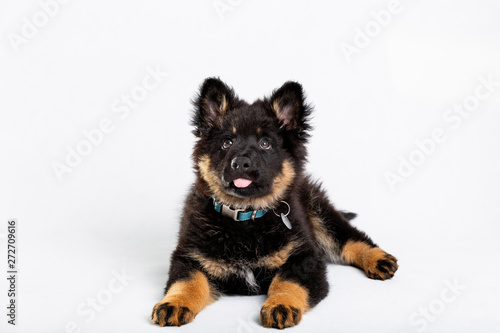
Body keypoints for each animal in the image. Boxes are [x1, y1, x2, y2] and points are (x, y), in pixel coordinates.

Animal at [152, 77, 398, 326]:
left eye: (265, 144)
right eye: (227, 142)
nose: (240, 163)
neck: (246, 217)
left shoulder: (305, 259)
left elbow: (287, 282)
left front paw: (281, 304)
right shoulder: (189, 257)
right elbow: (187, 283)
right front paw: (174, 303)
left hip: (318, 211)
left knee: (348, 237)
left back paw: (377, 258)